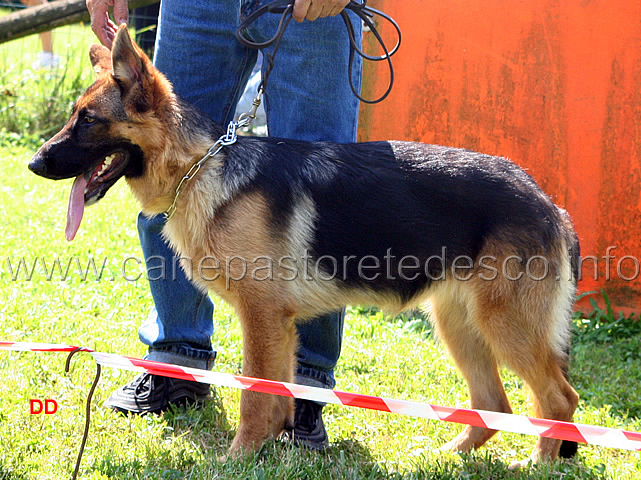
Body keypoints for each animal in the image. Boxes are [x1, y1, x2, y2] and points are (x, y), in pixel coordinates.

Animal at [28, 26, 580, 464]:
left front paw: (237, 458)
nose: (34, 163)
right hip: (460, 325)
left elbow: (254, 395)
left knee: (558, 401)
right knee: (494, 406)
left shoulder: (262, 316)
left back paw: (539, 462)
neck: (202, 167)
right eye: (74, 115)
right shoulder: (278, 323)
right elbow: (275, 396)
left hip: (506, 326)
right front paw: (263, 448)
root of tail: (548, 202)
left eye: (88, 120)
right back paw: (447, 454)